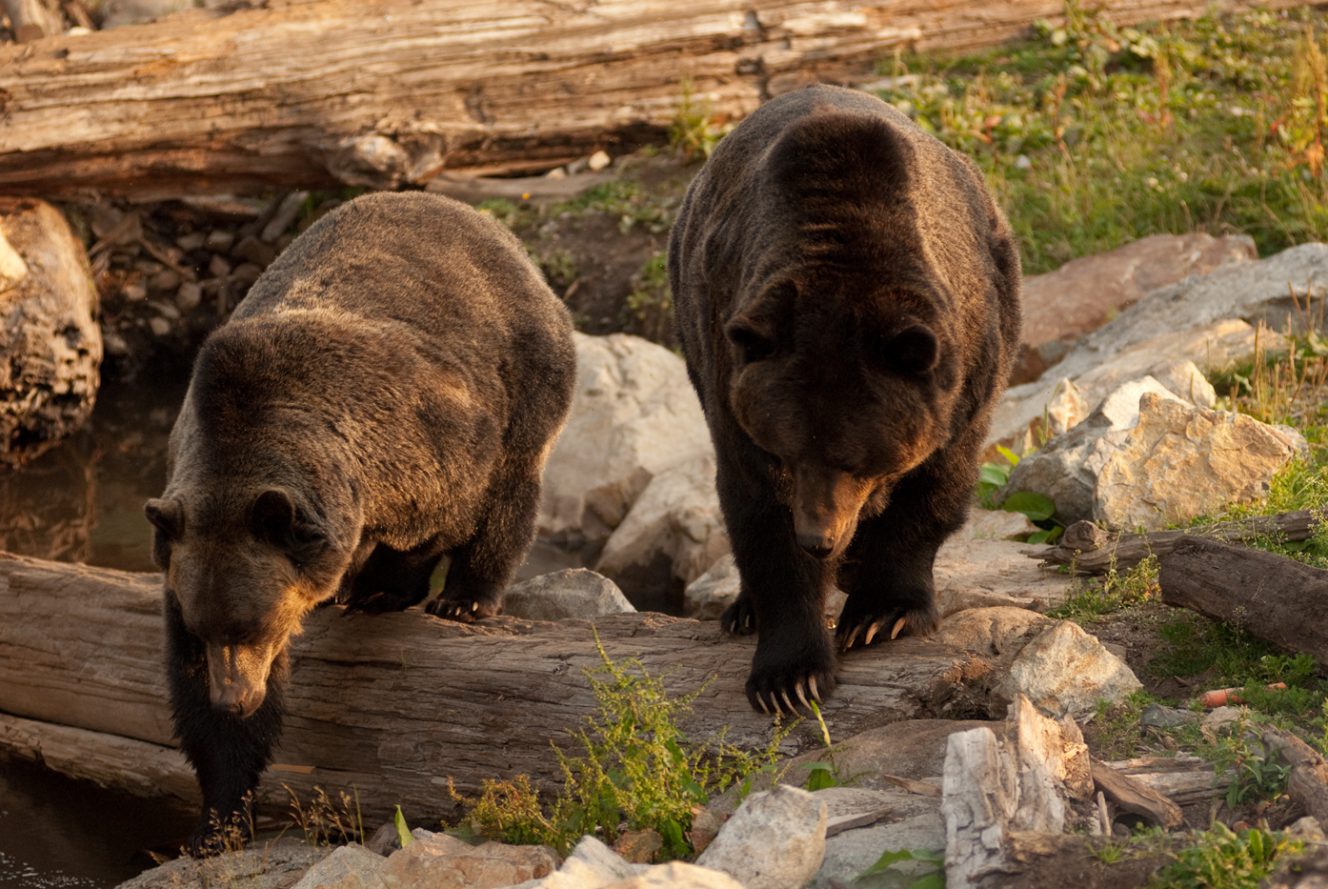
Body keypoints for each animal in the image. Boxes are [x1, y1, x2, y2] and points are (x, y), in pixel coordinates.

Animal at [145, 191, 576, 850]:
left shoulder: (420, 435)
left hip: (525, 362)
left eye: (254, 624)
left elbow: (445, 514)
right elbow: (194, 699)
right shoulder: (185, 540)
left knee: (514, 483)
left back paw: (460, 596)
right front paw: (215, 821)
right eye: (208, 626)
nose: (235, 699)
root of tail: (482, 220)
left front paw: (389, 588)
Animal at [669, 85, 1019, 712]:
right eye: (785, 453)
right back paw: (744, 609)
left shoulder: (967, 376)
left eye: (855, 459)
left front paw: (882, 613)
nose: (819, 538)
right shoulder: (729, 380)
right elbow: (757, 516)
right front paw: (790, 675)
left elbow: (934, 490)